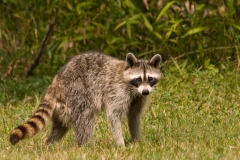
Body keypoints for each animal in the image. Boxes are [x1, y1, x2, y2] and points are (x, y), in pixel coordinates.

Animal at [10, 51, 162, 146]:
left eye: (150, 78)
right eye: (138, 79)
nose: (146, 92)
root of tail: (55, 83)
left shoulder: (138, 97)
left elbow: (133, 116)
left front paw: (136, 140)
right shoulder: (117, 90)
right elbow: (114, 115)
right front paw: (121, 143)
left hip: (64, 106)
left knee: (60, 126)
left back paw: (50, 144)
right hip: (76, 92)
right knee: (86, 117)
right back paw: (82, 146)